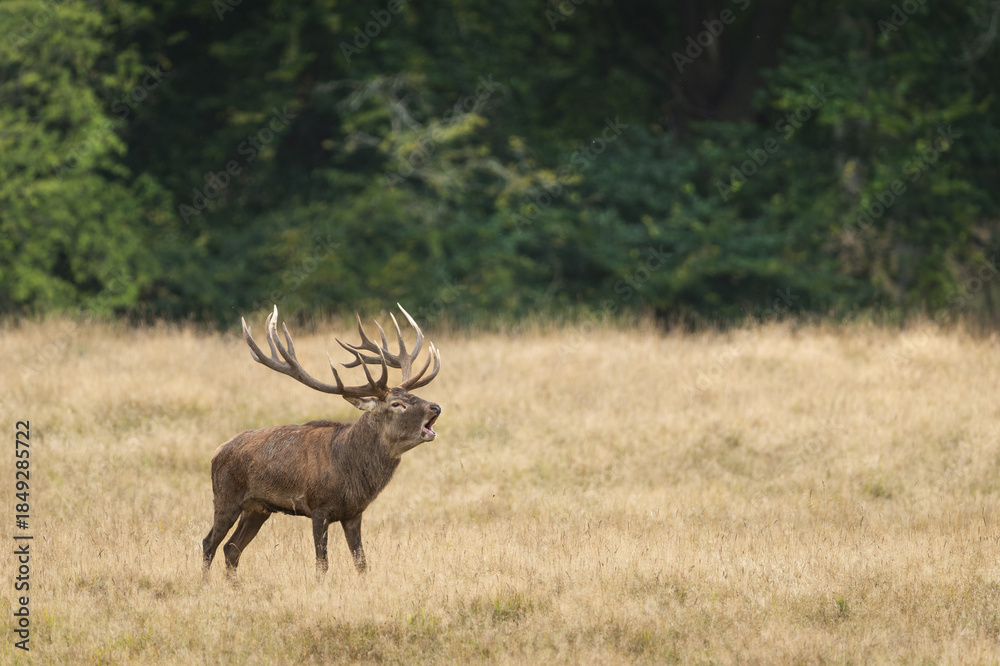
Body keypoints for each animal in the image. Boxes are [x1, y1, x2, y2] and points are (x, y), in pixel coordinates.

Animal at [202, 304, 441, 580]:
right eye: (396, 404)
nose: (435, 407)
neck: (350, 471)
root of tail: (217, 452)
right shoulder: (318, 507)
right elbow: (322, 563)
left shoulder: (354, 513)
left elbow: (362, 563)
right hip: (225, 496)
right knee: (209, 543)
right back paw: (205, 584)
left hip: (258, 508)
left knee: (231, 549)